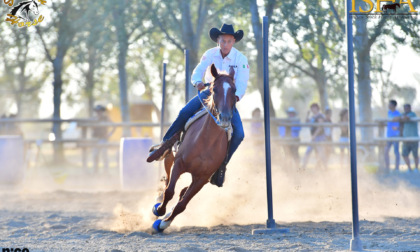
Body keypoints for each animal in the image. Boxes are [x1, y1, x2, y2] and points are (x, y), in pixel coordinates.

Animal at [151, 63, 236, 232]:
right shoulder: (179, 164)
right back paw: (158, 199)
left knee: (182, 193)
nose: (224, 118)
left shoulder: (202, 179)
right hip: (170, 156)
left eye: (234, 90)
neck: (206, 142)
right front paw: (160, 210)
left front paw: (164, 223)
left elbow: (182, 204)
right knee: (167, 180)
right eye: (215, 89)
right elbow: (169, 191)